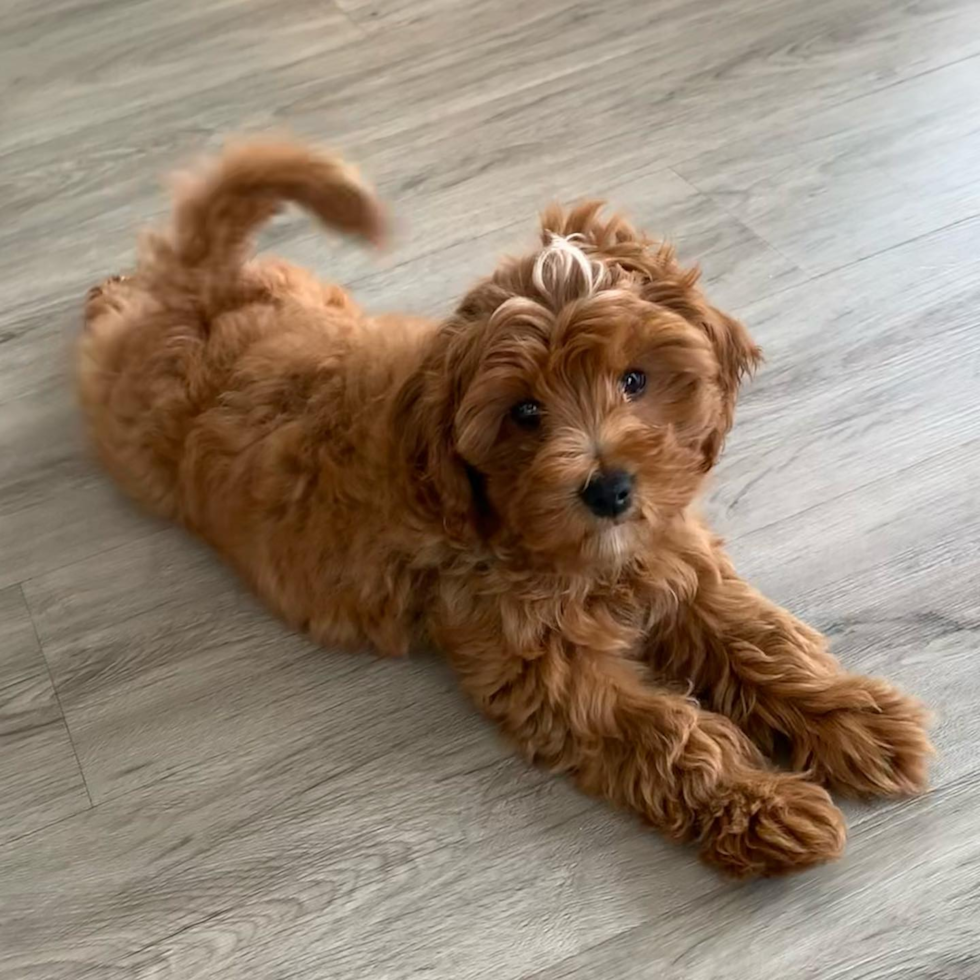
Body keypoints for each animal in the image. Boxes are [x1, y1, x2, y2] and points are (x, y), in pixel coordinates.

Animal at [80, 136, 932, 872]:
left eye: (634, 379)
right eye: (524, 413)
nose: (610, 489)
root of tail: (200, 292)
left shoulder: (679, 561)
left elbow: (761, 642)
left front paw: (856, 720)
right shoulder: (541, 663)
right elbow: (665, 730)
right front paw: (762, 806)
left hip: (308, 290)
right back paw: (105, 291)